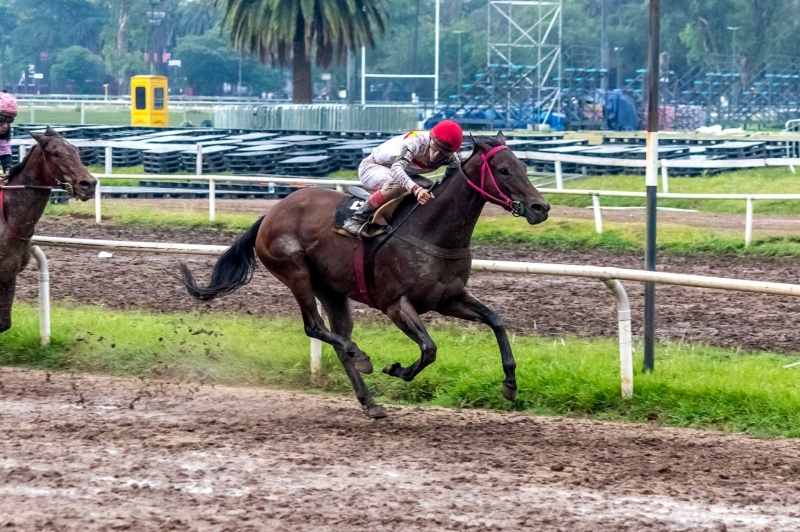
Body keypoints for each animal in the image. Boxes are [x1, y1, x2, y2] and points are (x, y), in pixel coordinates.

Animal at [180, 132, 548, 416]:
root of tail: (270, 213)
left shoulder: (450, 298)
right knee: (315, 327)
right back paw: (363, 357)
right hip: (295, 272)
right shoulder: (395, 304)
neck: (431, 230)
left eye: (523, 166)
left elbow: (496, 321)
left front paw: (510, 384)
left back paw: (369, 401)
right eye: (503, 169)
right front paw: (396, 369)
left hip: (332, 290)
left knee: (337, 338)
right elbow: (429, 348)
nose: (540, 208)